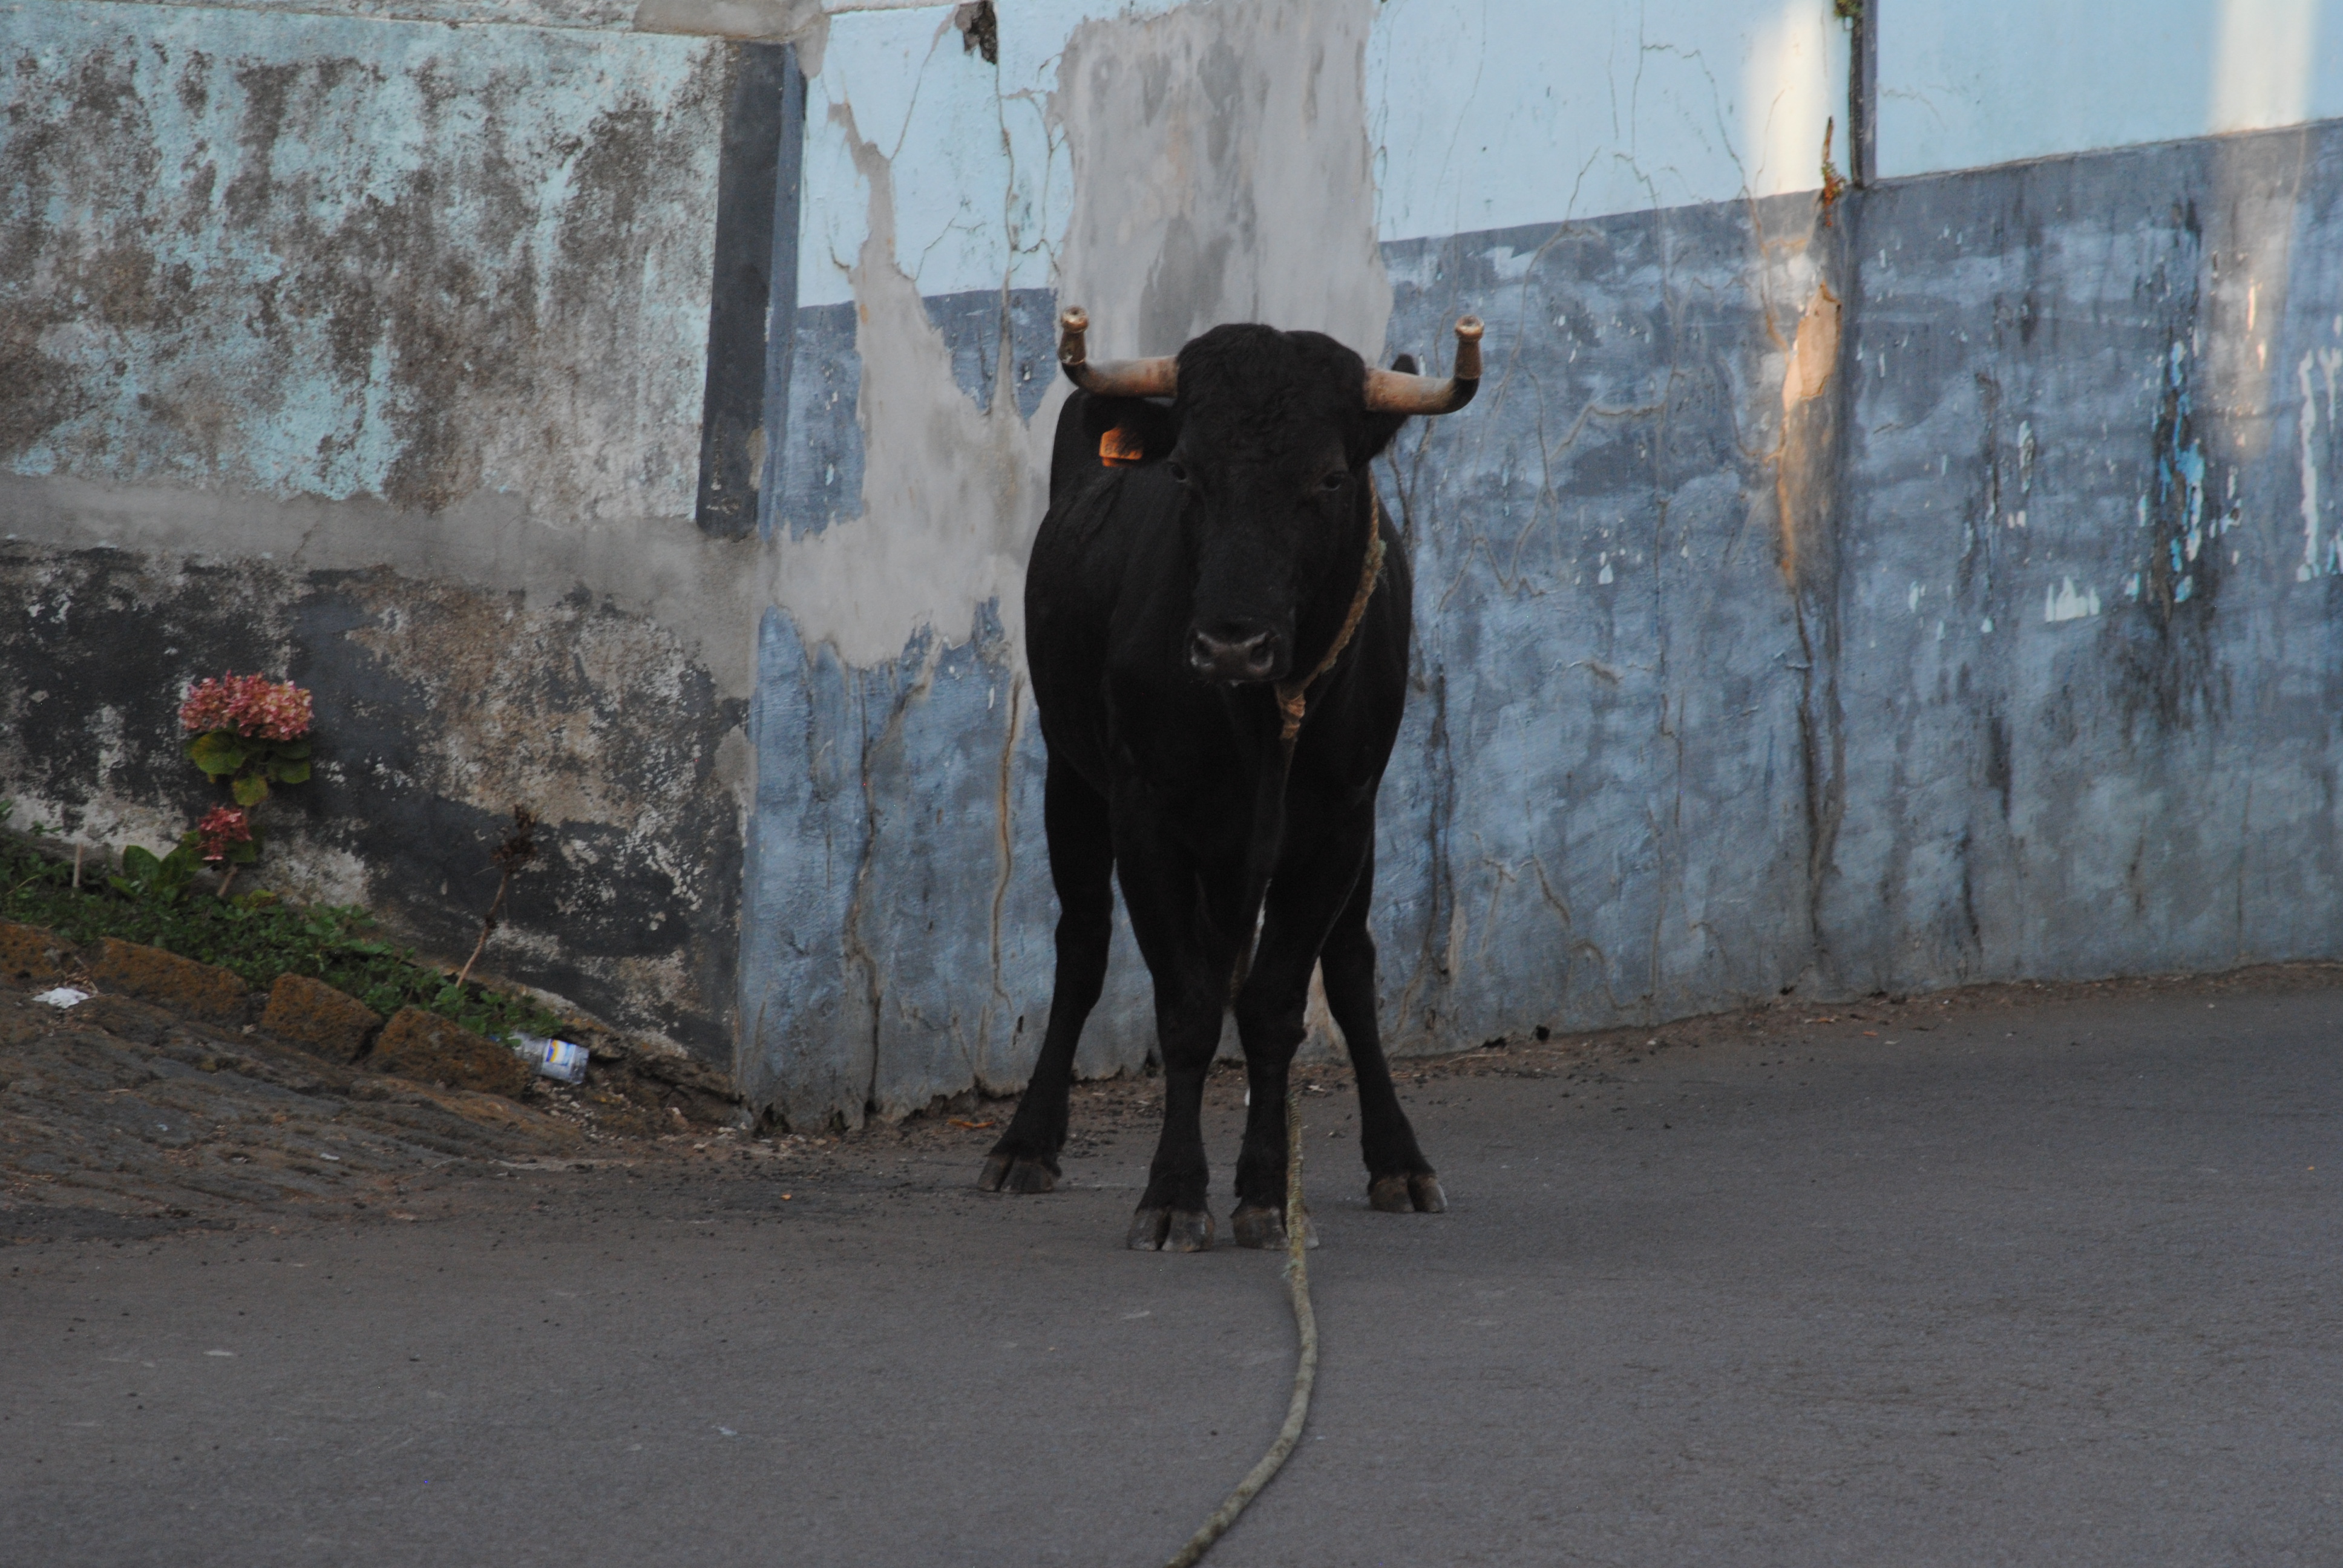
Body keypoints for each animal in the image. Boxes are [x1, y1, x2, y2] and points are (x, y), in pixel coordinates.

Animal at [974, 312, 1481, 1256]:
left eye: (1328, 476)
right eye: (1183, 472)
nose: (1231, 644)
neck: (1258, 715)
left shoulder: (1339, 823)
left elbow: (1278, 1003)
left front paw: (1265, 1190)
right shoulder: (1147, 817)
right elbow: (1186, 1004)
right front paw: (1175, 1193)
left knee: (1348, 967)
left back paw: (1398, 1160)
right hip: (1072, 783)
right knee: (1083, 947)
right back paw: (1026, 1142)